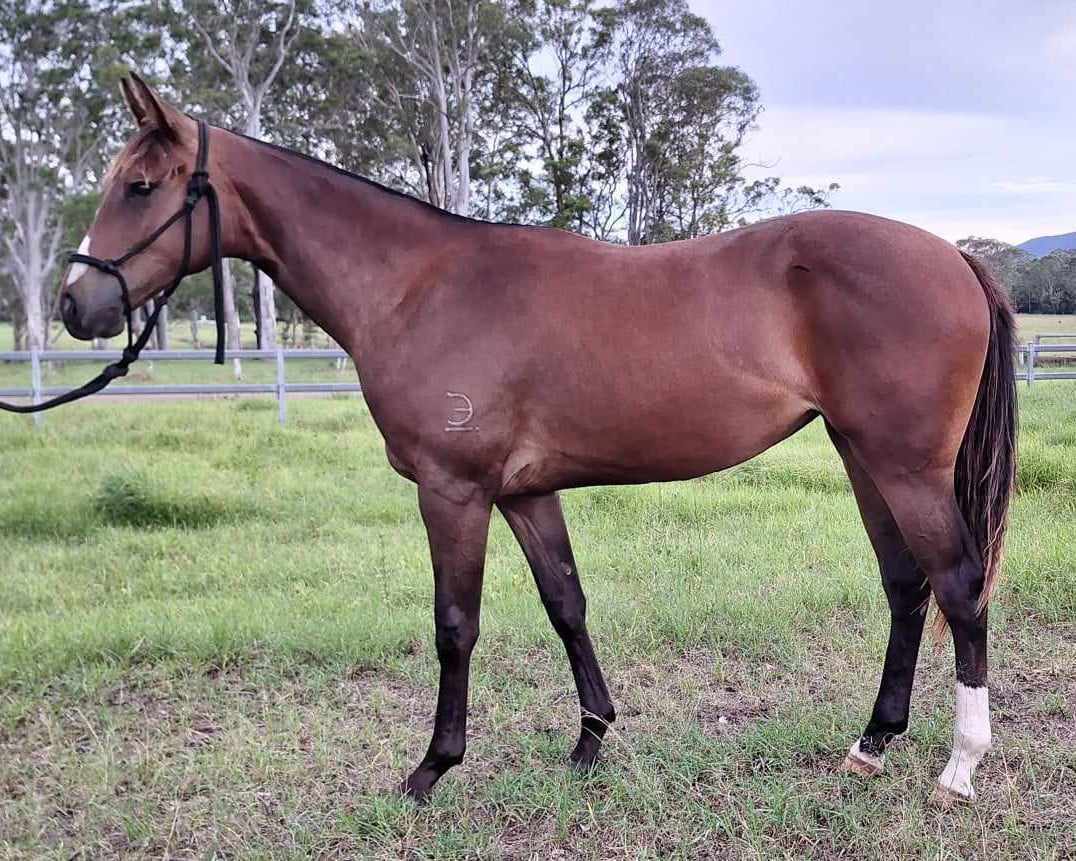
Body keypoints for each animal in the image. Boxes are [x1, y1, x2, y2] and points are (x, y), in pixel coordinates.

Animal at [59, 74, 1017, 804]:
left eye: (142, 186)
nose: (77, 304)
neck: (417, 286)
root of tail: (953, 256)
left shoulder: (453, 490)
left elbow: (455, 624)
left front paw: (431, 769)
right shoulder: (524, 491)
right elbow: (567, 603)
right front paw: (591, 740)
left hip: (904, 465)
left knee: (958, 584)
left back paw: (959, 765)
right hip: (862, 456)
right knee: (905, 585)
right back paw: (872, 741)